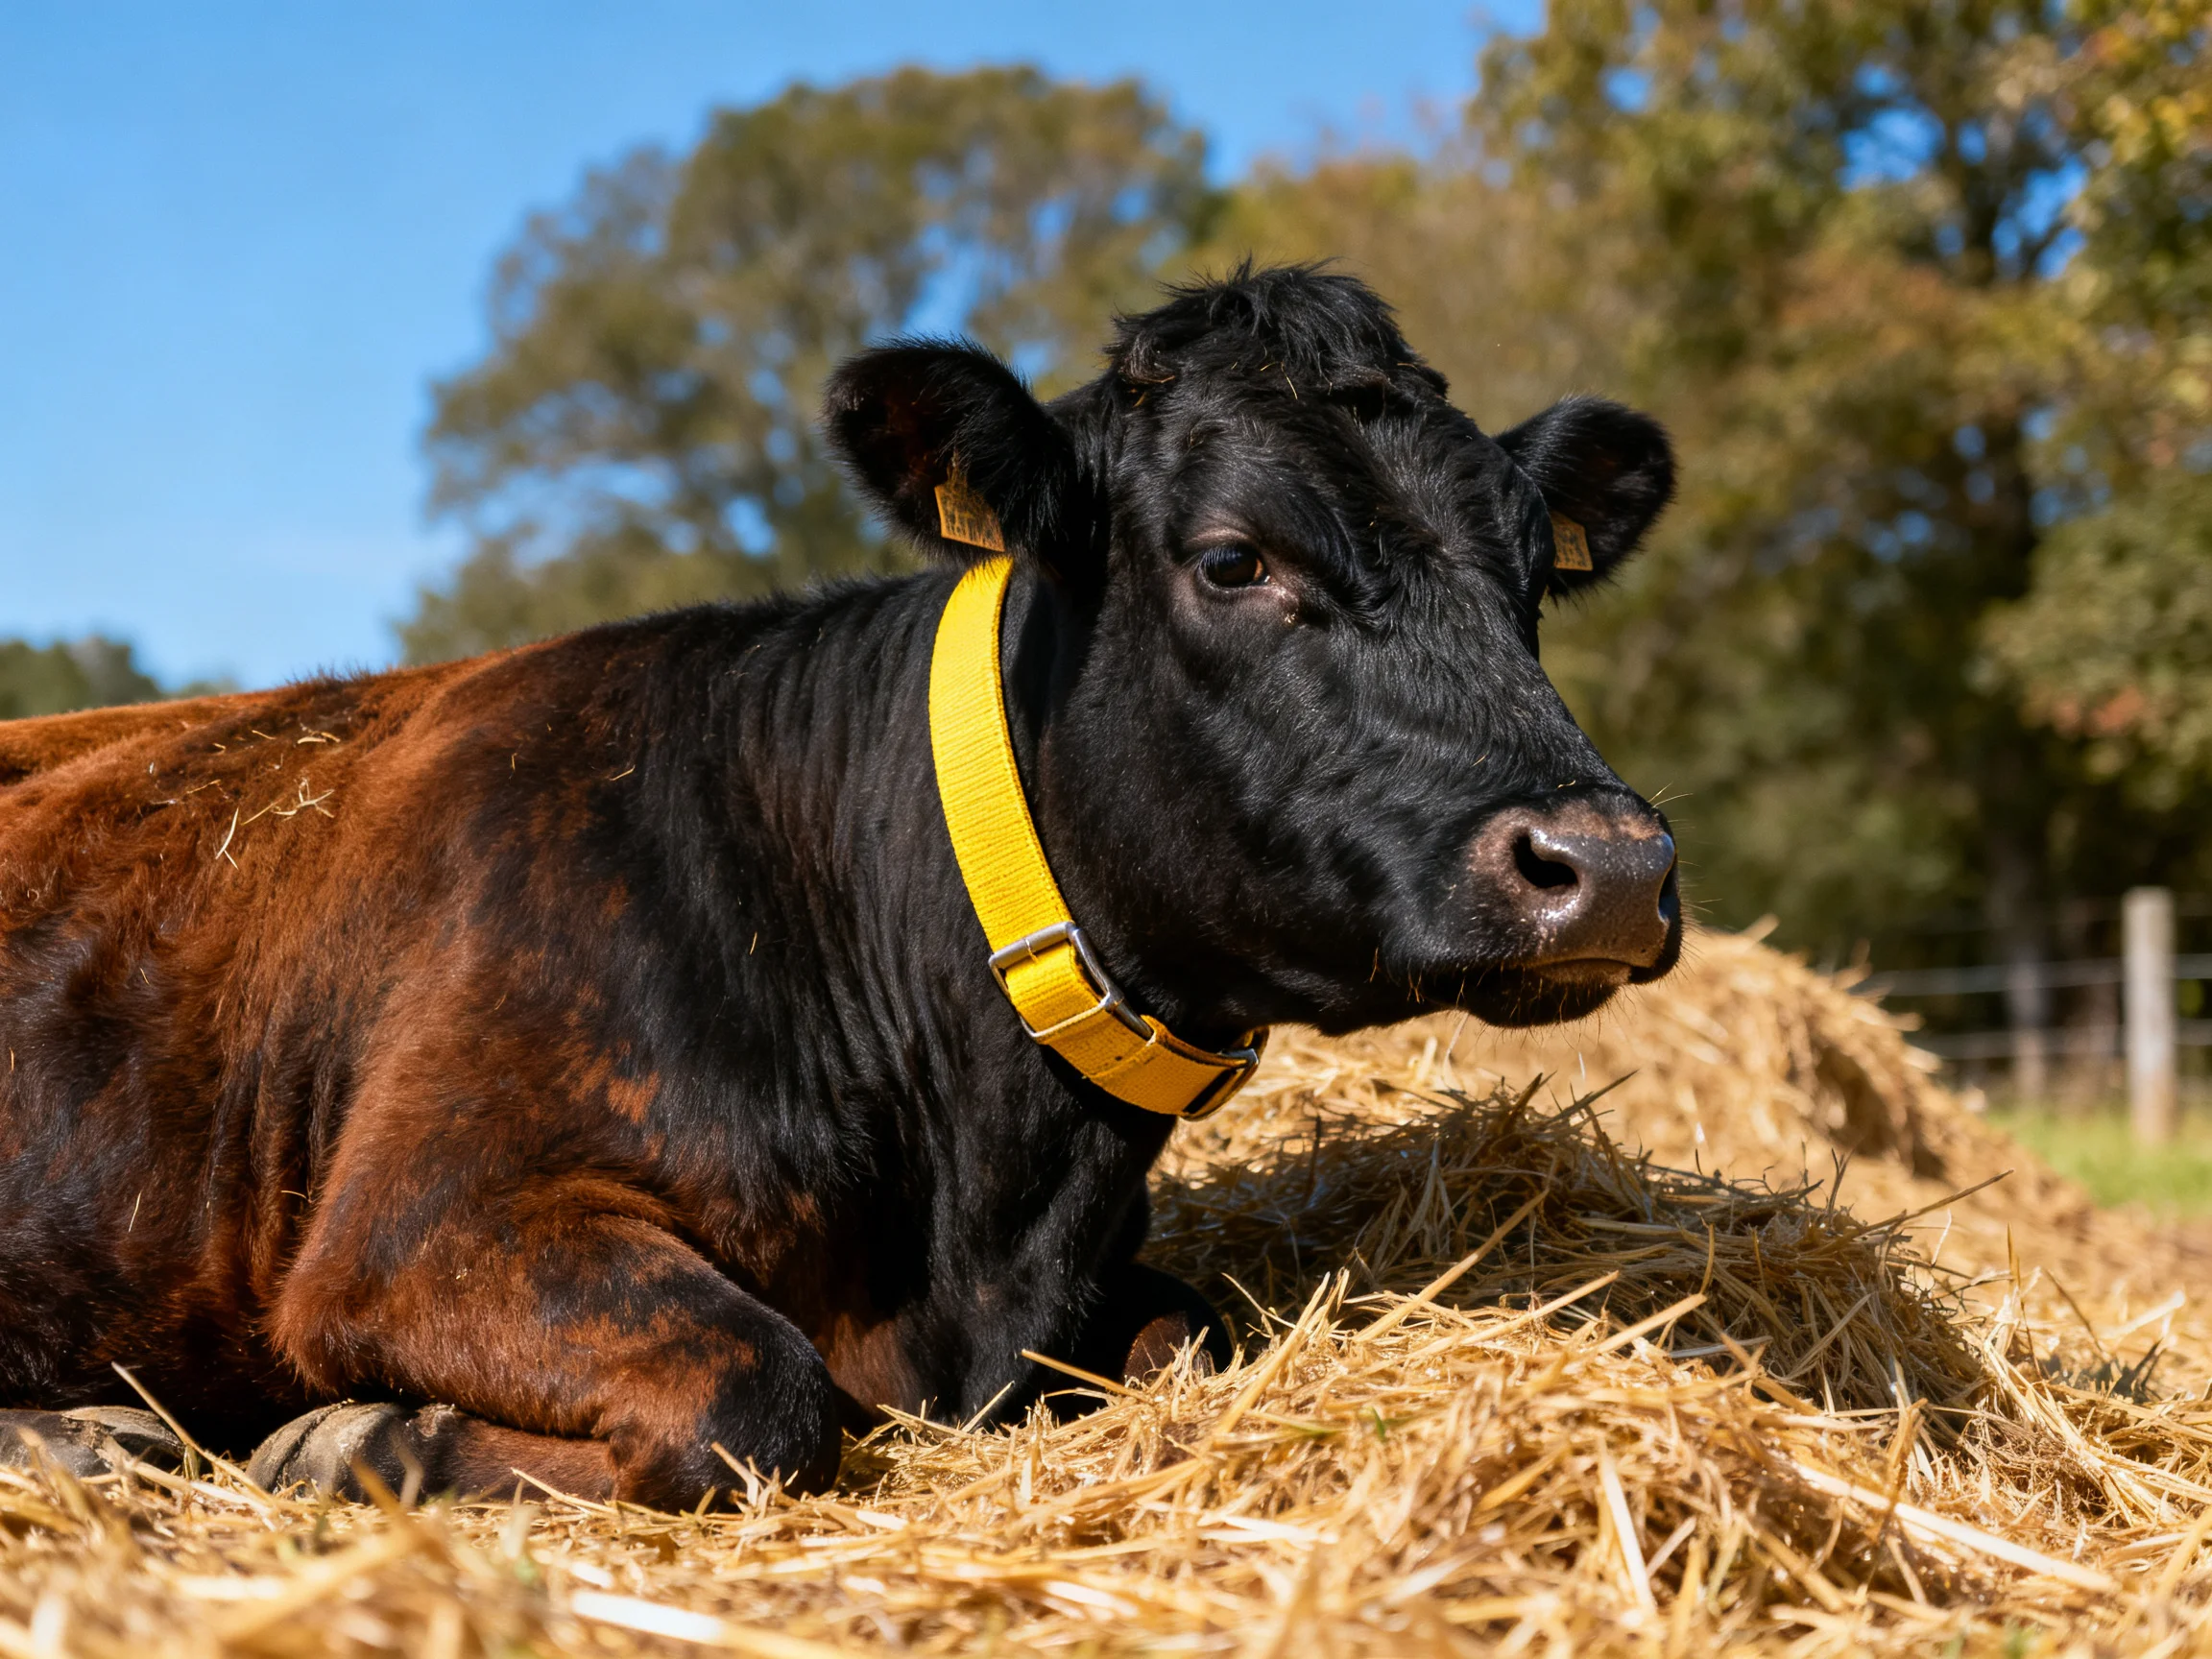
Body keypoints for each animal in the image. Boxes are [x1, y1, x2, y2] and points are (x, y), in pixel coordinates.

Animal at [0, 266, 1679, 1508]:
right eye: (1230, 560)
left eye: (1530, 578)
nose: (1610, 864)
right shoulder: (415, 1223)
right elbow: (753, 1392)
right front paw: (354, 1438)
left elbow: (1194, 1331)